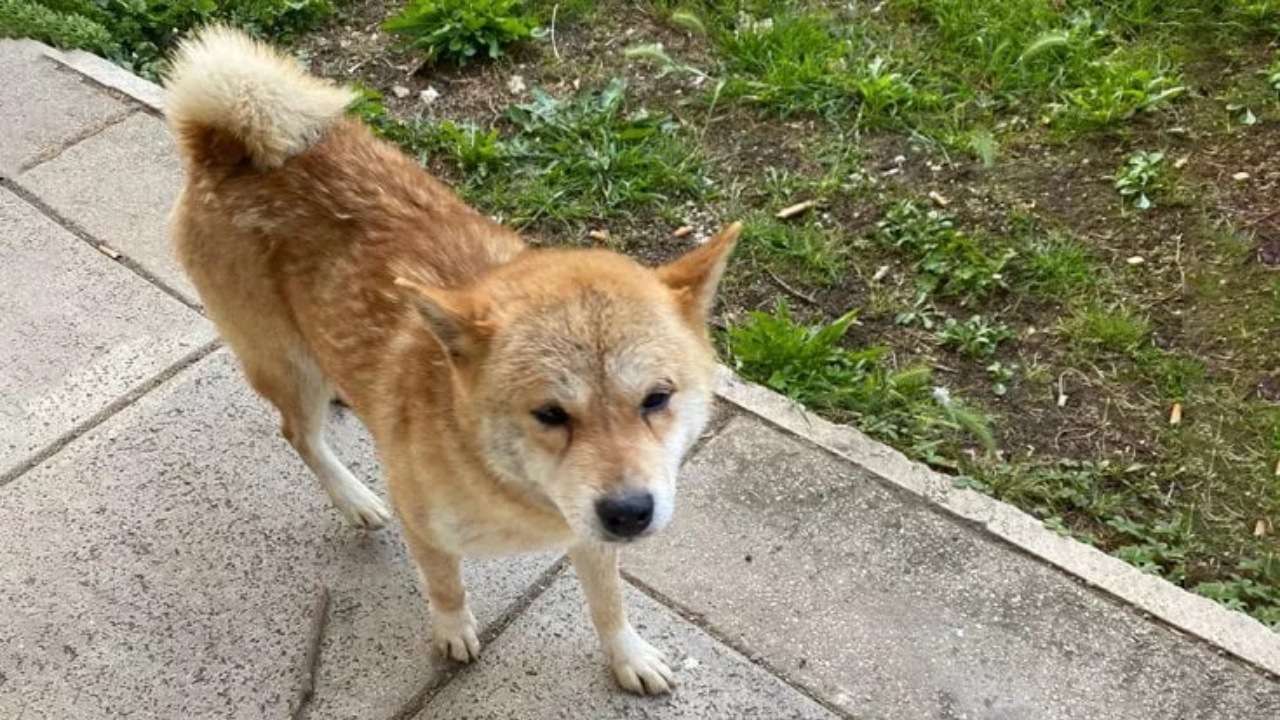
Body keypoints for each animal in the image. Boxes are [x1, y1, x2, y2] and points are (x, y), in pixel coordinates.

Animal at [161, 25, 742, 691]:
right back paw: (353, 497)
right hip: (285, 365)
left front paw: (628, 656)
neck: (508, 485)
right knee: (298, 434)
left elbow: (608, 603)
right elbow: (445, 587)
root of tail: (224, 146)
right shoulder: (427, 525)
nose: (629, 513)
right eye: (550, 414)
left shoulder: (589, 532)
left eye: (657, 398)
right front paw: (452, 633)